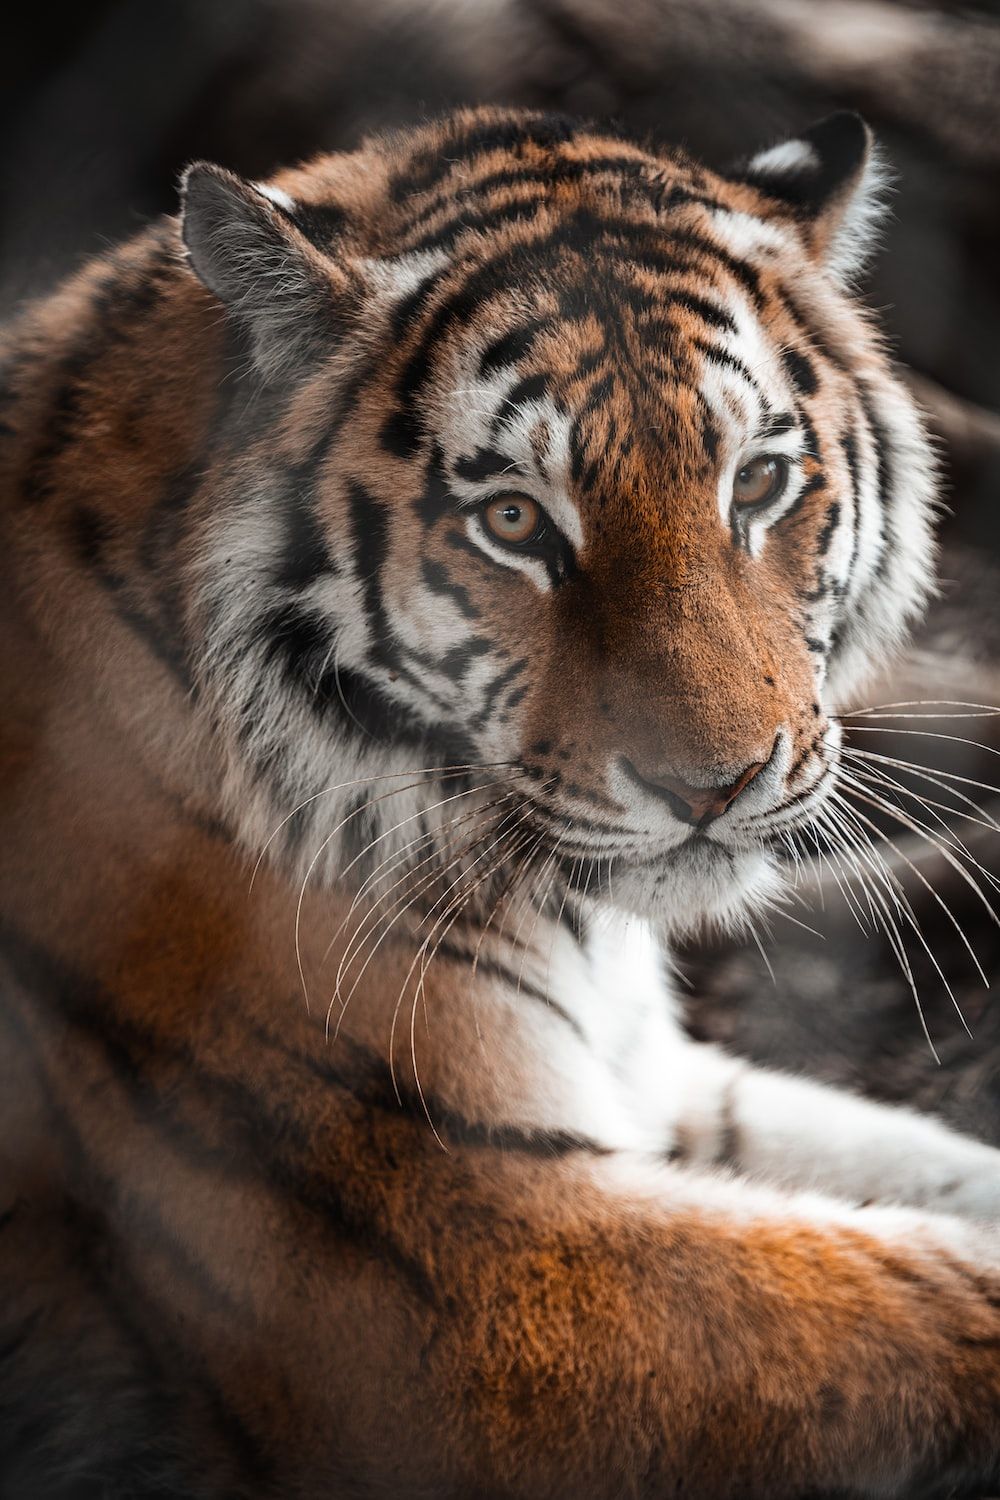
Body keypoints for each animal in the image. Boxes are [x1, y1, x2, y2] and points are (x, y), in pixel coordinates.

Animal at [1, 105, 1000, 1500]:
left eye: (754, 485)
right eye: (516, 521)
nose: (717, 784)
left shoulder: (656, 1084)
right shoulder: (470, 1259)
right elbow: (937, 1295)